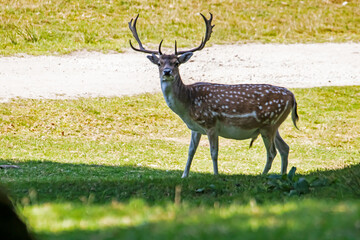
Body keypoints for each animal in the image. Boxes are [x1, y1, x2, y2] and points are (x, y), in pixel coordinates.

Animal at [128, 13, 300, 178]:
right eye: (159, 63)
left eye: (176, 63)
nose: (167, 72)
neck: (188, 104)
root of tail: (292, 97)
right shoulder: (195, 128)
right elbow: (190, 151)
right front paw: (184, 176)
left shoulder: (211, 123)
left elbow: (214, 153)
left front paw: (216, 175)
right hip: (273, 125)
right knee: (285, 148)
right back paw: (283, 175)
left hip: (269, 123)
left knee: (272, 152)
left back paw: (262, 175)